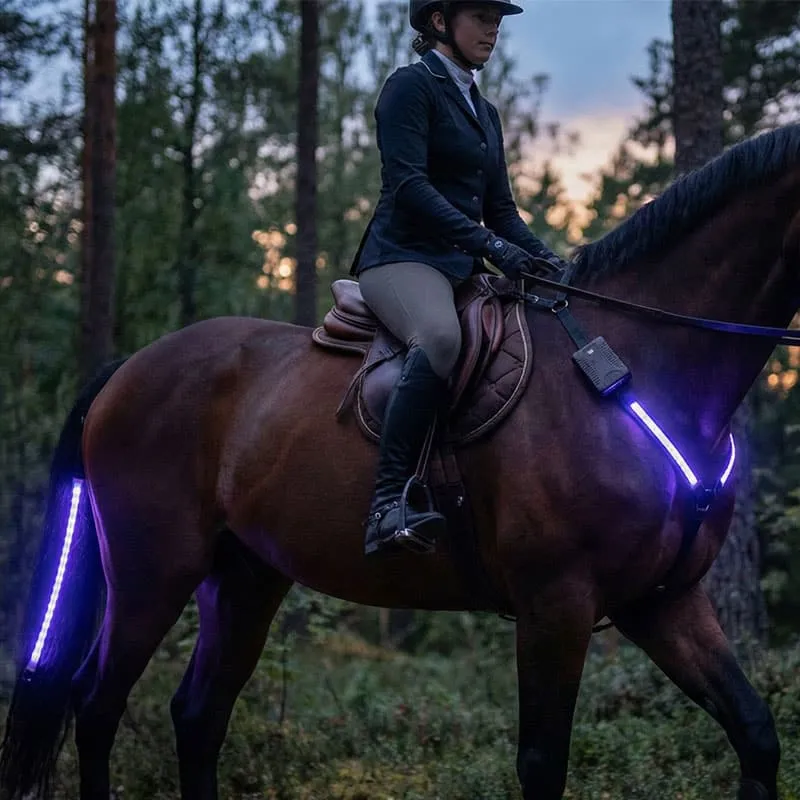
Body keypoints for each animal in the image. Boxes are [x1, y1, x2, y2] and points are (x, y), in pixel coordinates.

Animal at [3, 122, 800, 800]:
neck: (634, 365)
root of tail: (129, 368)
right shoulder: (557, 602)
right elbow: (543, 765)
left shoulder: (662, 600)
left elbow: (755, 732)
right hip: (151, 572)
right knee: (97, 707)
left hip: (245, 579)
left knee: (197, 718)